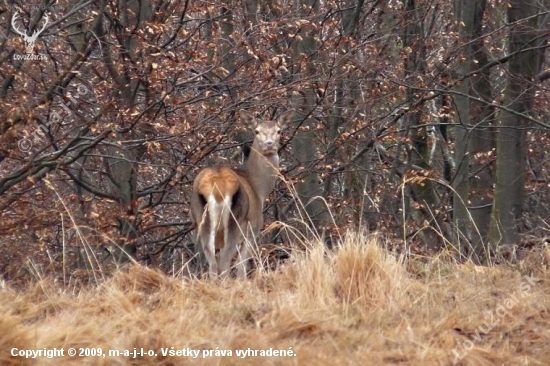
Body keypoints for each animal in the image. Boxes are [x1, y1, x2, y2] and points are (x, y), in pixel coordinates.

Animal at [191, 110, 296, 278]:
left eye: (279, 131)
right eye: (256, 131)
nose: (269, 144)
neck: (259, 188)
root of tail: (216, 187)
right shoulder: (254, 226)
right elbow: (242, 265)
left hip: (200, 220)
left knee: (212, 263)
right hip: (235, 220)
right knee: (225, 262)